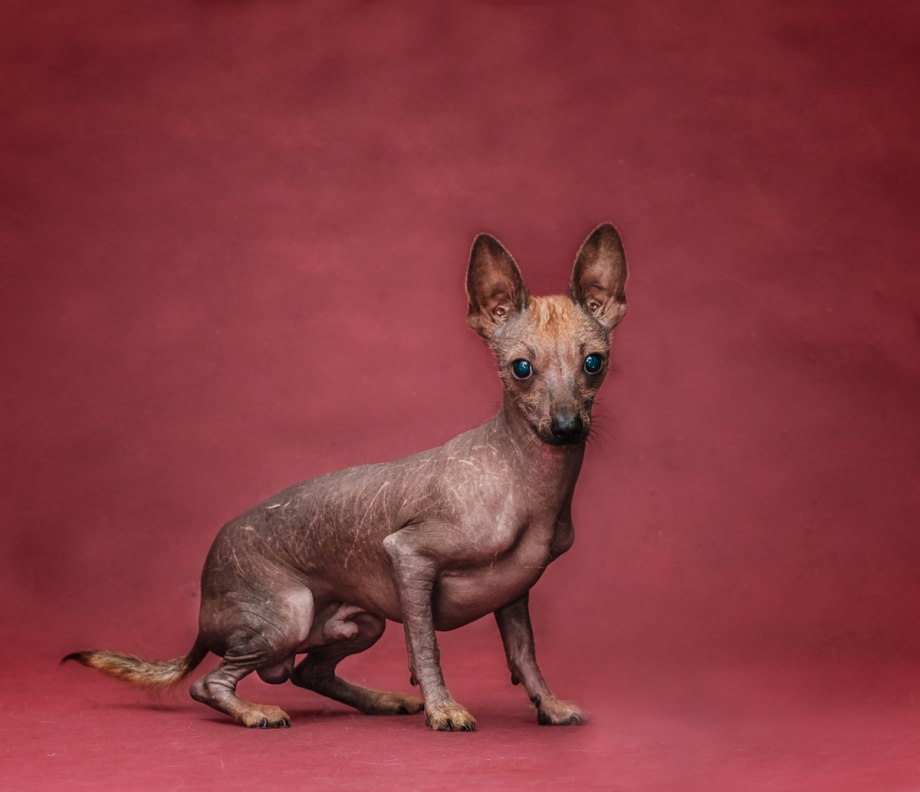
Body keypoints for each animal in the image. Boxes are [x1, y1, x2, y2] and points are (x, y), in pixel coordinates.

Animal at [65, 223, 629, 731]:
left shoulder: (513, 597)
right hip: (289, 613)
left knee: (307, 673)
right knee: (209, 682)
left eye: (593, 363)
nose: (566, 428)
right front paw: (443, 709)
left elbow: (524, 654)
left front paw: (547, 704)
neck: (527, 476)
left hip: (360, 622)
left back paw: (381, 701)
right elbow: (425, 644)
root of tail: (203, 605)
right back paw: (255, 712)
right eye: (521, 369)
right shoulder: (409, 556)